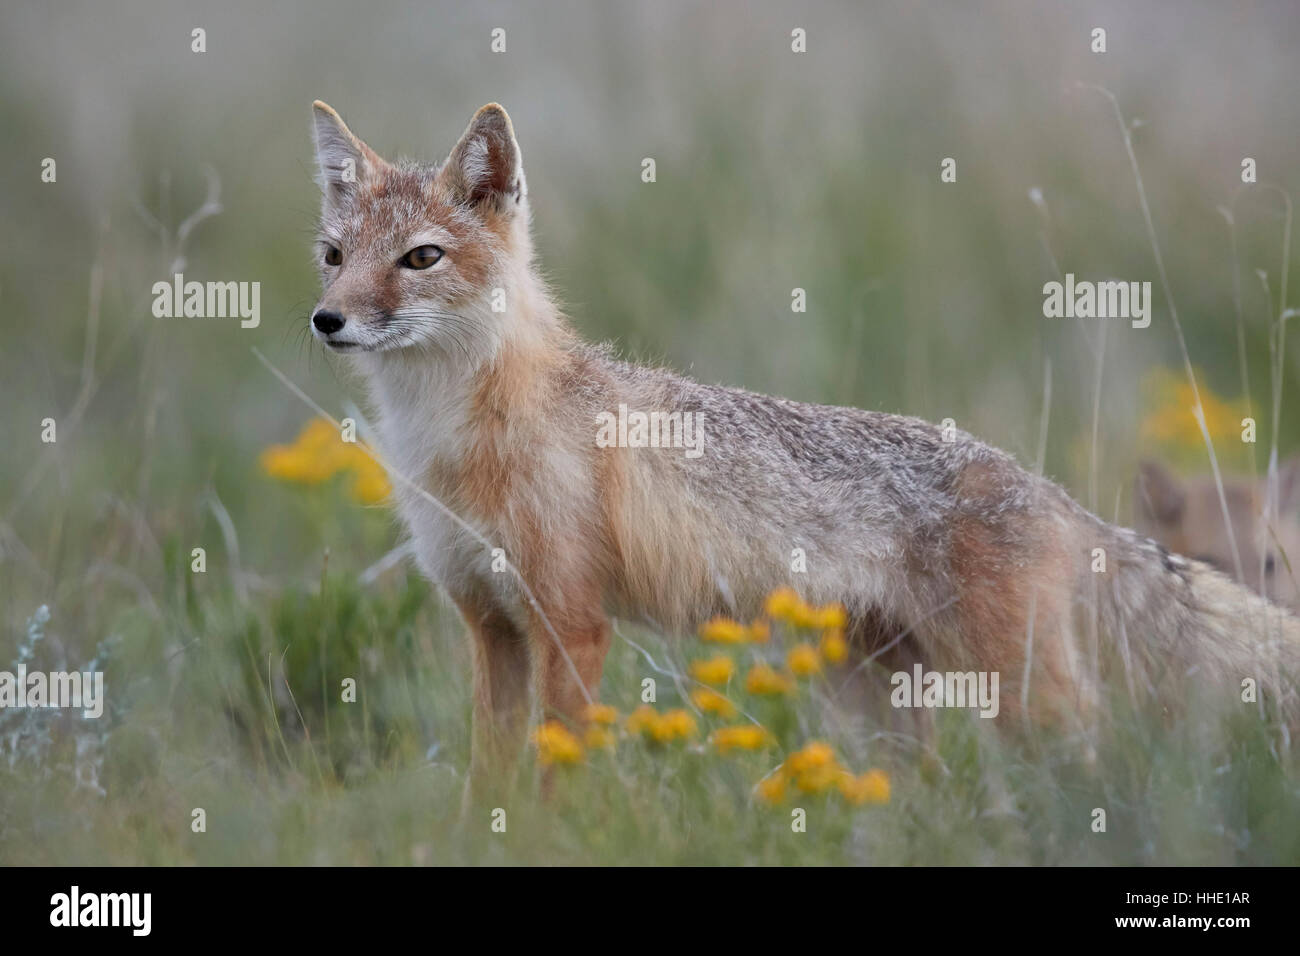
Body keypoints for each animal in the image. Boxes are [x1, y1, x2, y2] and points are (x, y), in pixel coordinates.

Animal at [306, 98, 1300, 785]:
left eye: (421, 259)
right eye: (333, 257)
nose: (327, 320)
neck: (451, 437)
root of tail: (1048, 489)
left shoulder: (572, 625)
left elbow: (556, 788)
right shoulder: (492, 628)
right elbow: (487, 789)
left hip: (1020, 695)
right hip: (876, 707)